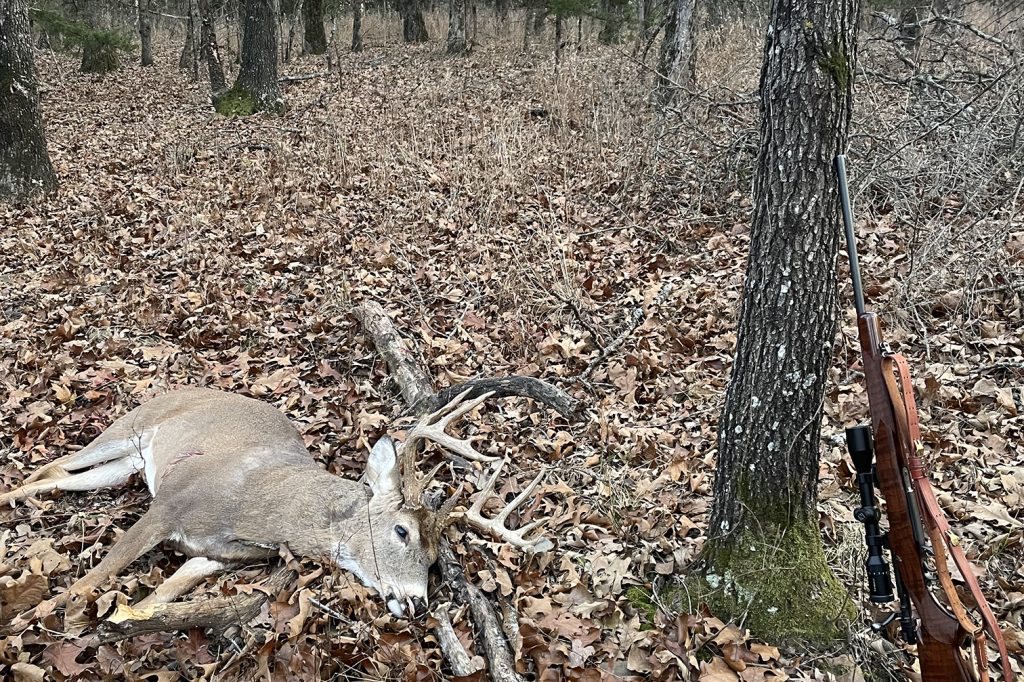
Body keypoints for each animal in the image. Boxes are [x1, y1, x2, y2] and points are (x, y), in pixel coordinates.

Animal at [0, 387, 551, 623]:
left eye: (437, 560)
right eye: (402, 531)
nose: (417, 602)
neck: (258, 507)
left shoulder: (219, 555)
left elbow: (156, 597)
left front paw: (120, 618)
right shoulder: (168, 506)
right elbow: (95, 575)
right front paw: (36, 614)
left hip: (129, 462)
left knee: (55, 478)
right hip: (128, 427)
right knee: (55, 466)